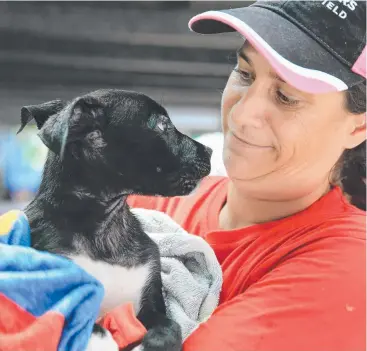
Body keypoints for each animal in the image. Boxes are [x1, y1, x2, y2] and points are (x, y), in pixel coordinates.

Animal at [18, 90, 213, 351]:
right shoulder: (59, 304)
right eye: (162, 125)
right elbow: (94, 328)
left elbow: (171, 329)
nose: (210, 150)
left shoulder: (151, 304)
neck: (106, 228)